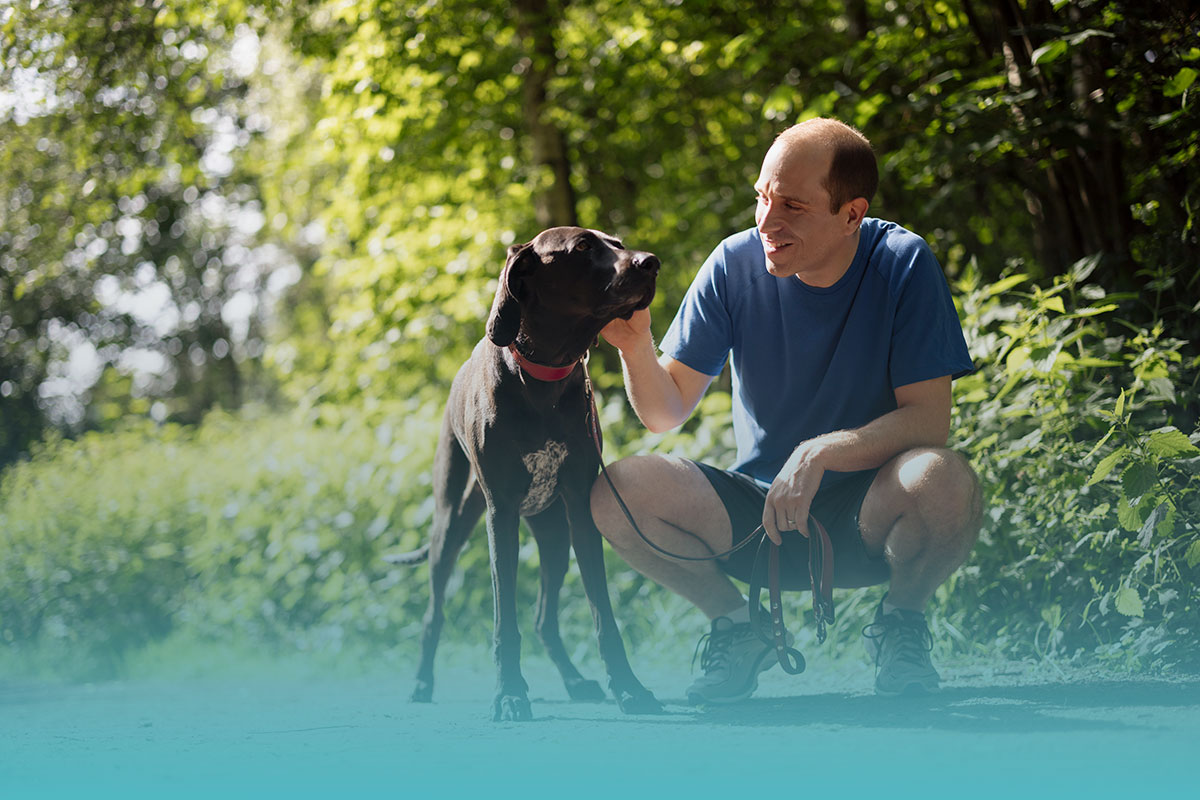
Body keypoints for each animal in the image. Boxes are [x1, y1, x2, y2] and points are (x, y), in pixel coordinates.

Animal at [388, 227, 662, 724]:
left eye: (617, 241)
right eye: (583, 247)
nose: (651, 262)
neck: (543, 377)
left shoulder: (581, 508)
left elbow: (602, 613)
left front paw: (628, 687)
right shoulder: (501, 514)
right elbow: (504, 621)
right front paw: (510, 694)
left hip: (554, 537)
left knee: (543, 619)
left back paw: (574, 681)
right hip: (450, 526)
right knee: (434, 612)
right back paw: (421, 682)